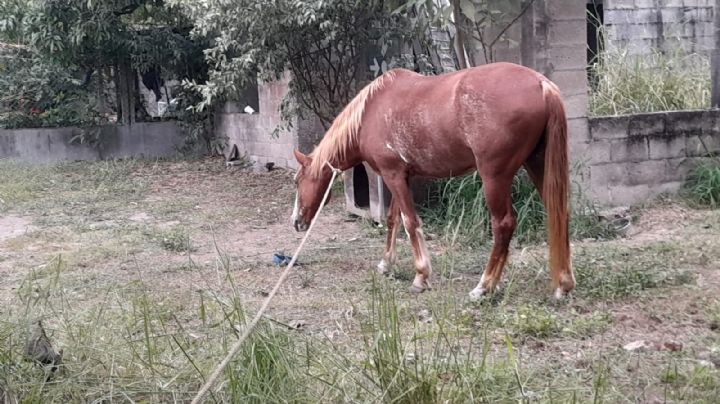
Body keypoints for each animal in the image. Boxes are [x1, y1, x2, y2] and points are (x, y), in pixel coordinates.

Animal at [290, 61, 576, 298]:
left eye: (297, 180)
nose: (296, 222)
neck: (371, 112)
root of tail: (541, 84)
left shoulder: (393, 175)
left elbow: (410, 222)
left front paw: (421, 276)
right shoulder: (400, 177)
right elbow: (393, 219)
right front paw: (386, 264)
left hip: (494, 177)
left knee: (503, 224)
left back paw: (484, 287)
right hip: (537, 165)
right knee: (558, 212)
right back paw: (563, 284)